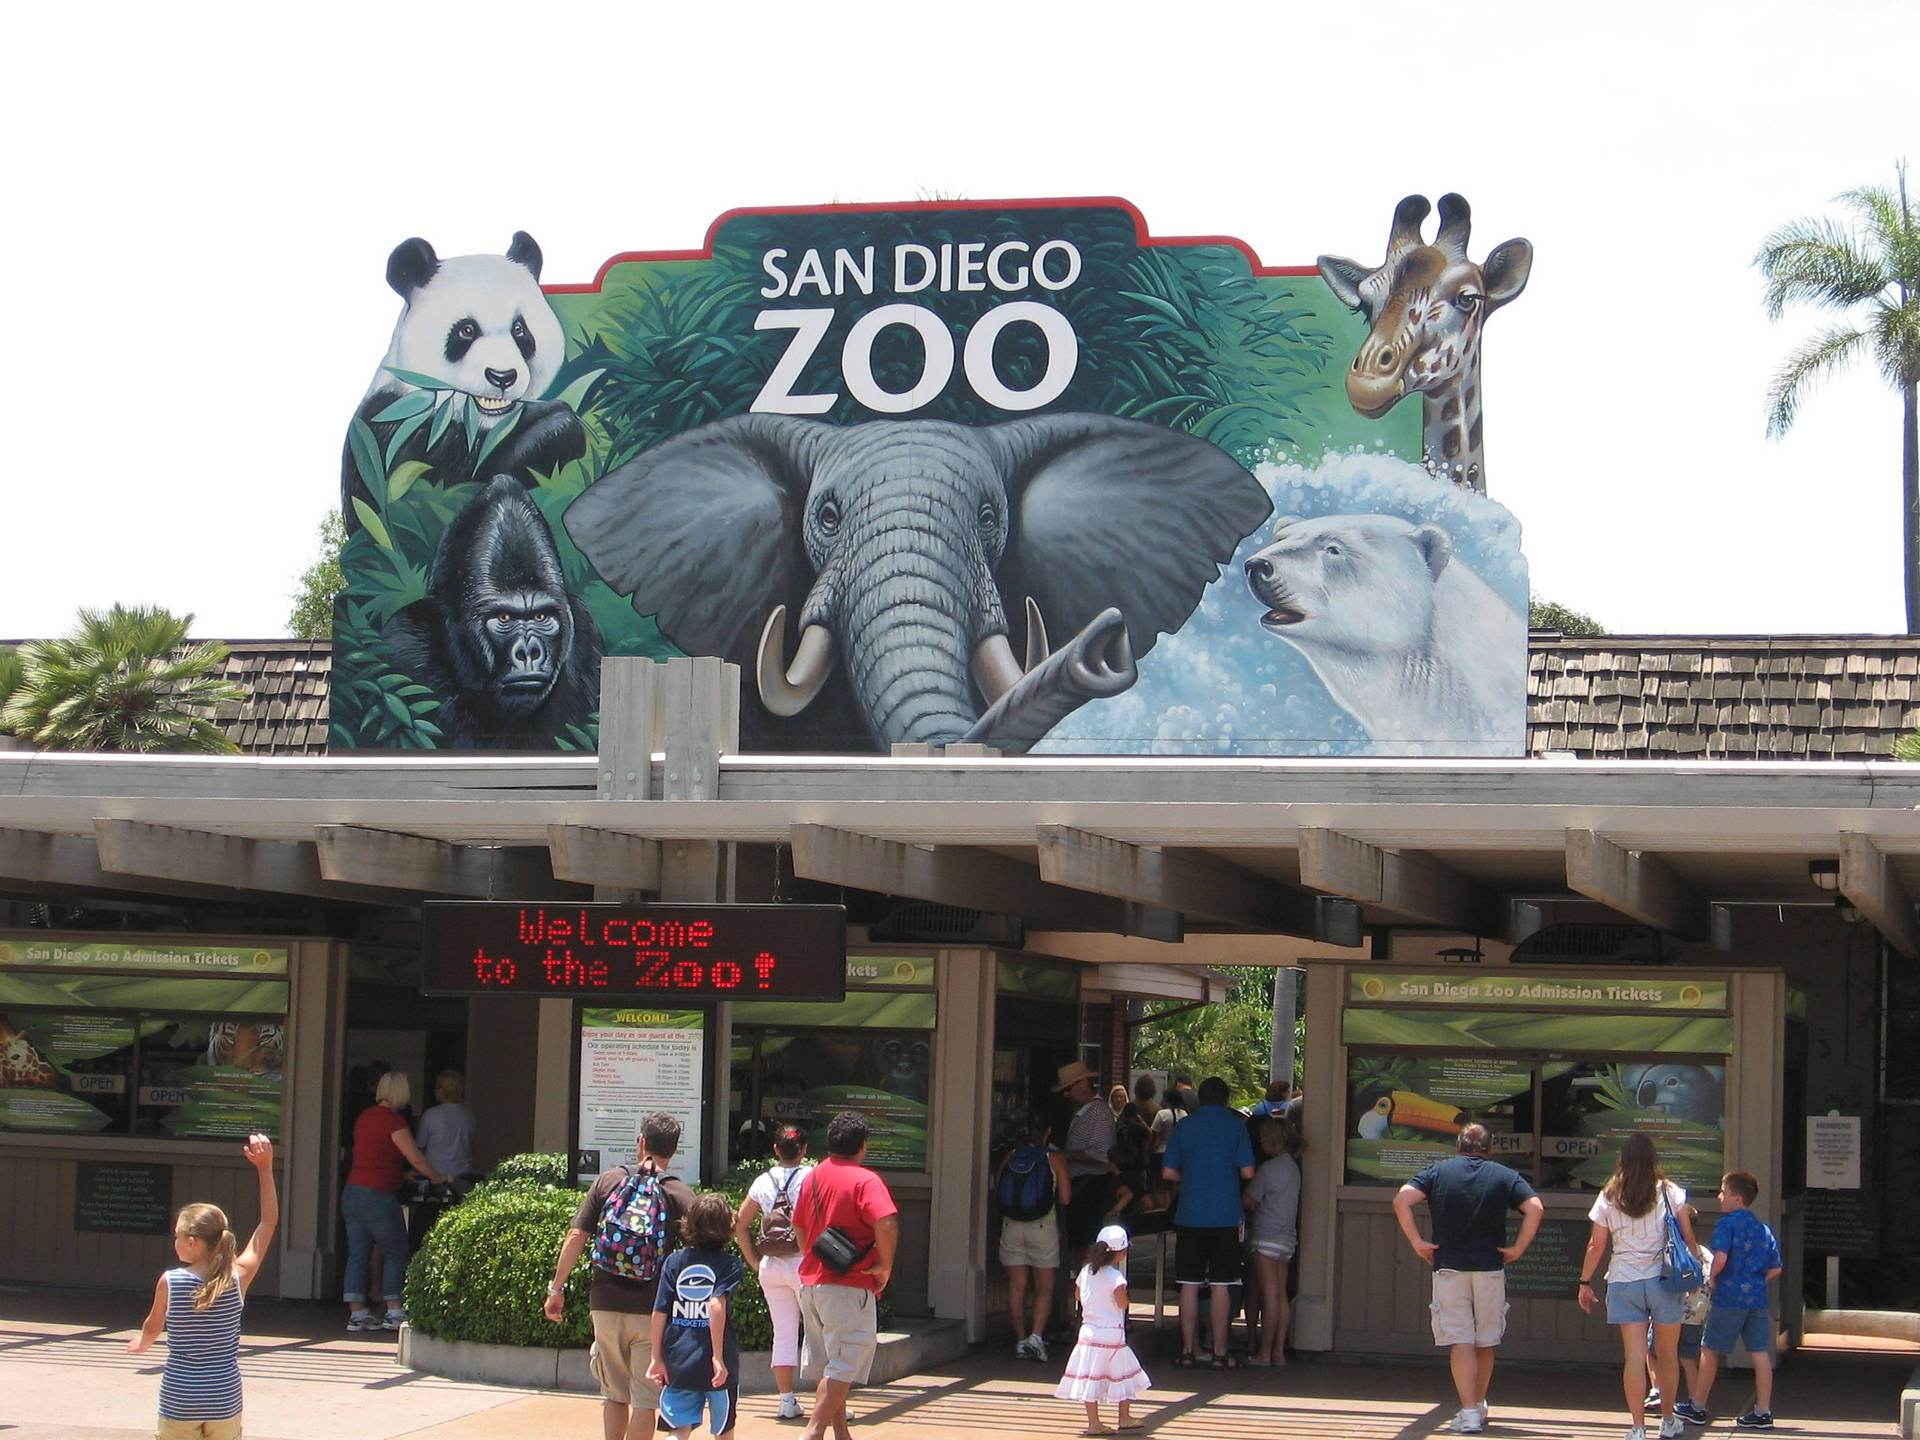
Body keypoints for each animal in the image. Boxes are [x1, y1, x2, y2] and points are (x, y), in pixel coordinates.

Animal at [343, 234, 583, 533]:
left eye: (519, 329)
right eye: (466, 330)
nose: (502, 376)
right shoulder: (391, 434)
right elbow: (443, 485)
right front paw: (555, 425)